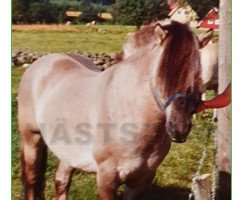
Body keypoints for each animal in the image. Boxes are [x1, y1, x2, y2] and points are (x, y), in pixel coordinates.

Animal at [19, 19, 213, 198]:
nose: (179, 128)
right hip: (31, 140)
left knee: (61, 180)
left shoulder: (141, 181)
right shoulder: (107, 179)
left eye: (198, 75)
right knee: (32, 180)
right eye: (162, 75)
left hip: (68, 152)